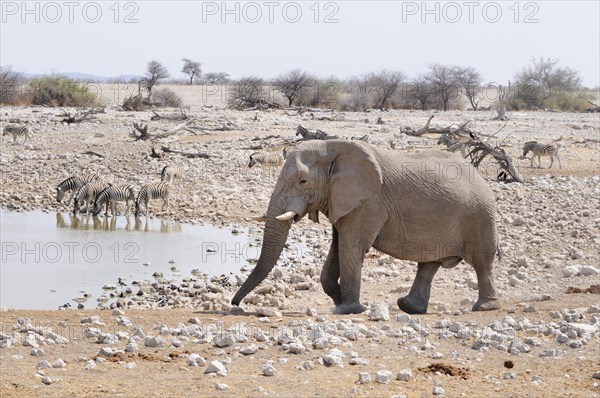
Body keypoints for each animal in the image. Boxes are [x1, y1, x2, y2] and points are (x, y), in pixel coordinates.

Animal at [231, 140, 502, 314]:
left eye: (303, 181)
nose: (236, 305)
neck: (333, 147)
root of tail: (481, 177)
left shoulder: (369, 202)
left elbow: (351, 246)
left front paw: (347, 309)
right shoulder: (343, 201)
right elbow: (338, 246)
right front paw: (339, 299)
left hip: (479, 216)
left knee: (481, 262)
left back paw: (485, 307)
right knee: (429, 264)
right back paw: (409, 307)